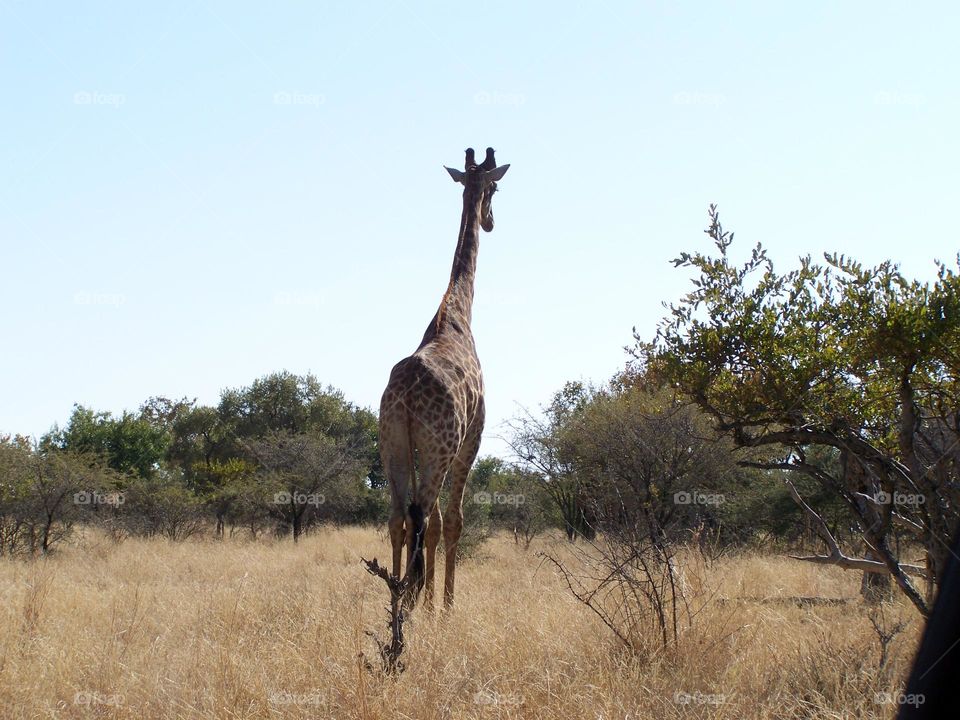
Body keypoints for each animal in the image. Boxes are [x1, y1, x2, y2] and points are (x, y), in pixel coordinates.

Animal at [378, 146, 510, 608]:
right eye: (495, 189)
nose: (490, 221)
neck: (456, 317)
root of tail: (404, 396)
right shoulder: (472, 437)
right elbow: (451, 521)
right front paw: (446, 605)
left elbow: (432, 523)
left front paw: (430, 599)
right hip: (438, 447)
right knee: (421, 514)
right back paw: (410, 596)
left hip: (393, 444)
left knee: (399, 516)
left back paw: (398, 594)